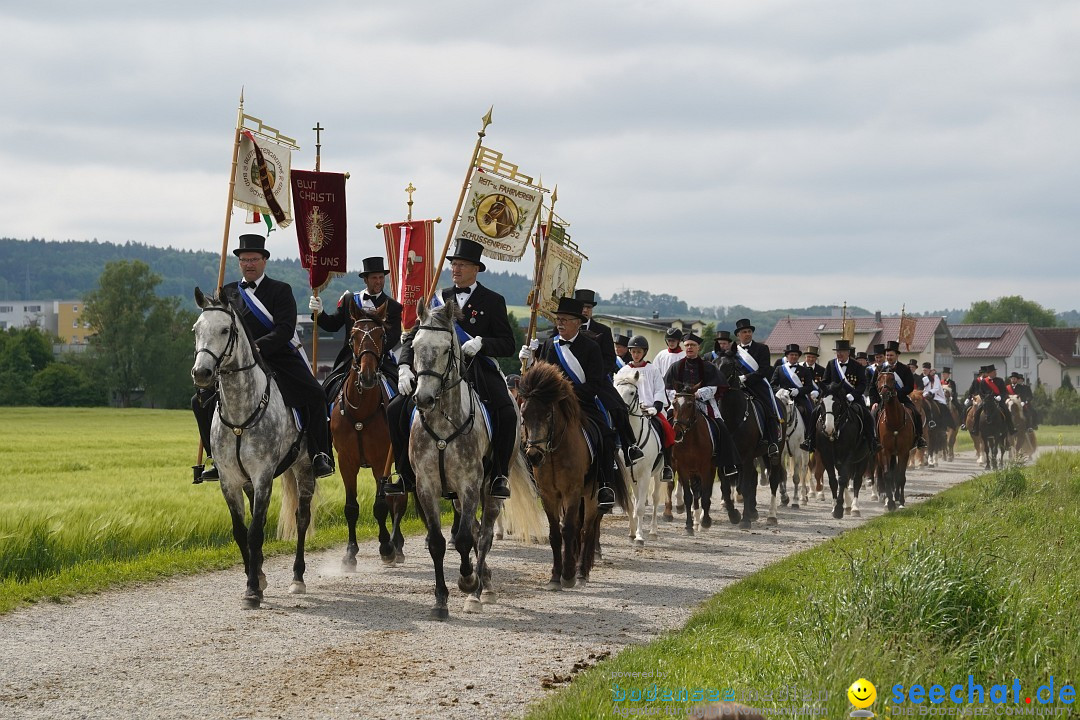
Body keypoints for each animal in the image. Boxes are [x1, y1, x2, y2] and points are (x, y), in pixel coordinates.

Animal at [192, 287, 315, 608]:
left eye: (225, 329)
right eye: (196, 329)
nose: (202, 374)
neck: (240, 412)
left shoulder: (263, 477)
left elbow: (256, 532)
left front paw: (252, 591)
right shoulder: (230, 480)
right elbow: (240, 532)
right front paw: (255, 580)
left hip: (305, 468)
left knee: (302, 518)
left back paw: (298, 578)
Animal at [328, 297, 406, 569]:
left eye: (382, 335)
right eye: (353, 336)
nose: (368, 376)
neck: (361, 411)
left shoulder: (380, 460)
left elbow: (381, 505)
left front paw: (386, 548)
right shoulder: (346, 461)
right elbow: (351, 507)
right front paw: (350, 554)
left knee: (398, 500)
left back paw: (397, 546)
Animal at [518, 362, 630, 587]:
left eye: (548, 414)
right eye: (524, 415)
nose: (534, 455)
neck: (555, 452)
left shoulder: (572, 492)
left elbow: (569, 529)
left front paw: (568, 575)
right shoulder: (549, 495)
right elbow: (555, 533)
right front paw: (555, 575)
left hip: (591, 496)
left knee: (587, 530)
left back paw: (581, 571)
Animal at [617, 371, 665, 546]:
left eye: (632, 392)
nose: (620, 412)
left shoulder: (645, 475)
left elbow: (640, 508)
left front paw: (639, 536)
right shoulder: (626, 475)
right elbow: (631, 505)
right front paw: (632, 533)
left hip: (658, 474)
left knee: (655, 499)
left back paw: (653, 531)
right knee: (637, 498)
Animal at [876, 371, 911, 511]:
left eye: (892, 379)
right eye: (878, 379)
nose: (884, 394)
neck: (894, 422)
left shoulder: (904, 452)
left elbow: (900, 476)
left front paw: (900, 501)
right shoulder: (885, 451)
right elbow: (888, 475)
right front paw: (890, 502)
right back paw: (885, 496)